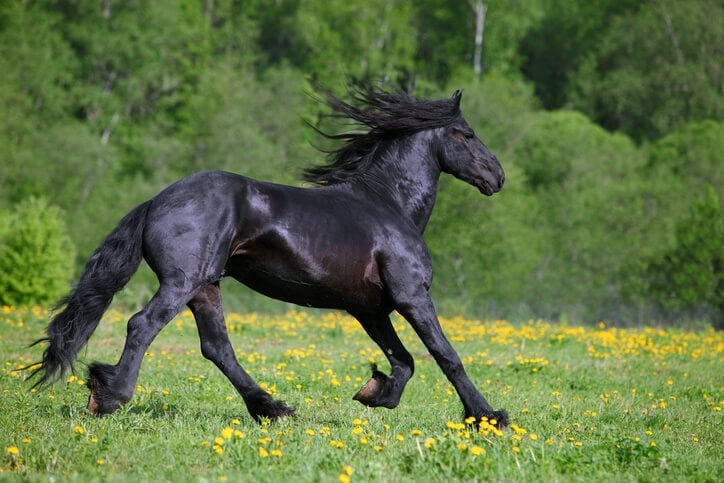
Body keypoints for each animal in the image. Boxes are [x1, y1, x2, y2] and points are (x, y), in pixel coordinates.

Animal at [29, 86, 508, 428]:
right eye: (466, 134)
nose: (497, 176)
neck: (387, 205)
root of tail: (157, 201)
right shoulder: (412, 296)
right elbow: (446, 355)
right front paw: (487, 417)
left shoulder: (369, 308)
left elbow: (403, 362)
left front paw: (373, 392)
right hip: (182, 283)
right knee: (142, 325)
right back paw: (108, 396)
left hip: (206, 288)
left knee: (217, 348)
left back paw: (272, 408)